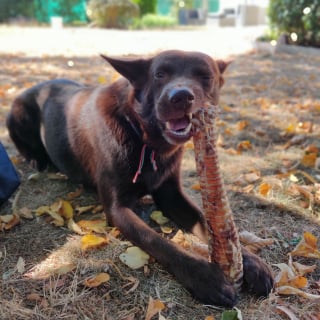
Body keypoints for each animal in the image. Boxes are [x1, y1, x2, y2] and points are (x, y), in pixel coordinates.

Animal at [6, 50, 274, 304]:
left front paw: (251, 262)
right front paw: (204, 277)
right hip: (17, 115)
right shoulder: (117, 208)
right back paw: (37, 159)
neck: (145, 138)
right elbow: (157, 240)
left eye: (205, 77)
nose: (181, 97)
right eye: (160, 75)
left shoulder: (172, 195)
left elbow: (209, 223)